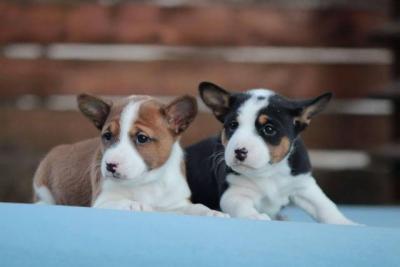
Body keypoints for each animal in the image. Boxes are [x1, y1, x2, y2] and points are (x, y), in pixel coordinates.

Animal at [32, 94, 227, 218]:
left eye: (142, 138)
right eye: (107, 136)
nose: (110, 165)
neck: (147, 181)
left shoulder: (176, 205)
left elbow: (196, 208)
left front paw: (212, 212)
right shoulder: (103, 202)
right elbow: (125, 202)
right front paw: (137, 205)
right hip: (43, 187)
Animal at [186, 82, 358, 226]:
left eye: (268, 129)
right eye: (233, 125)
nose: (239, 151)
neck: (269, 171)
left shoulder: (304, 185)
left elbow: (325, 206)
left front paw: (346, 223)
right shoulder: (234, 192)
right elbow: (242, 206)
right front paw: (254, 216)